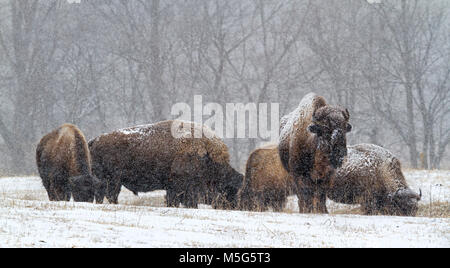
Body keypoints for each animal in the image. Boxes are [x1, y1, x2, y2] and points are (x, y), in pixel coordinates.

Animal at [87, 119, 243, 207]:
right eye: (230, 187)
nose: (233, 205)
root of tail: (95, 140)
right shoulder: (182, 188)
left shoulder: (173, 188)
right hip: (111, 180)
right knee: (109, 195)